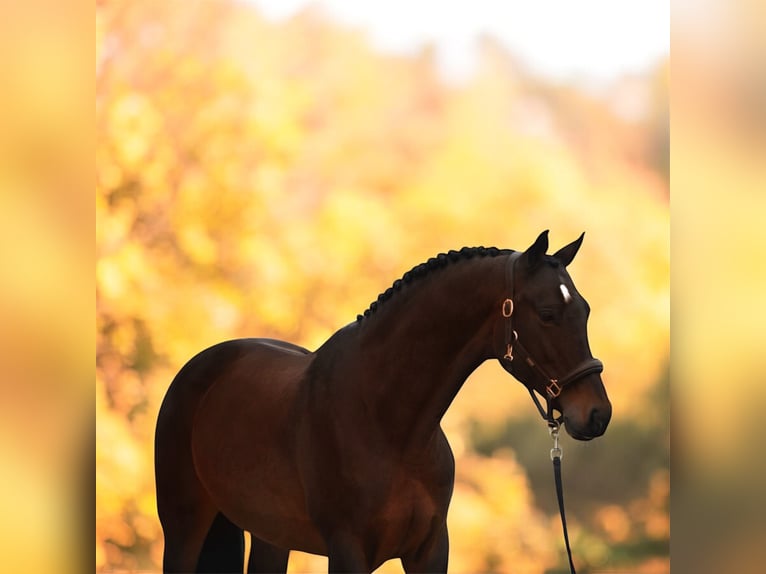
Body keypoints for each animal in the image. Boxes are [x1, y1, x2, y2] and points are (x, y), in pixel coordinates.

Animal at [154, 230, 611, 573]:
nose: (597, 414)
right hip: (183, 528)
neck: (388, 424)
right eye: (548, 314)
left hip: (271, 537)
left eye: (586, 310)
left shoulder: (430, 551)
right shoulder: (347, 551)